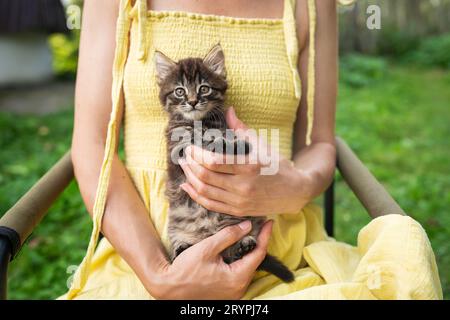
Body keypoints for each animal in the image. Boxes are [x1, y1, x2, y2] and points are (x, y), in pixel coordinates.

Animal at [155, 43, 296, 282]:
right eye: (179, 91)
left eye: (204, 88)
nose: (192, 102)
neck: (200, 122)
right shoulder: (177, 147)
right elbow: (201, 141)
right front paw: (228, 145)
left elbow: (218, 138)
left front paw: (236, 144)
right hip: (176, 228)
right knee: (182, 249)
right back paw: (183, 248)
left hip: (249, 221)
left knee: (235, 253)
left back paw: (244, 246)